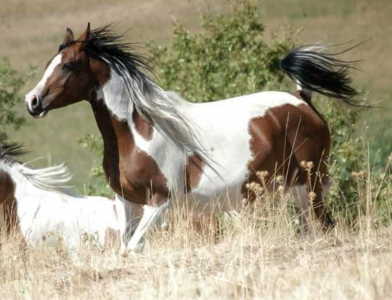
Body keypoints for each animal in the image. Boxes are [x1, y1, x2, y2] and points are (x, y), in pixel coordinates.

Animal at [25, 24, 362, 252]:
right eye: (48, 64)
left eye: (67, 65)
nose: (32, 102)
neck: (138, 133)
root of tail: (301, 99)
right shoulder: (128, 203)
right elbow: (124, 248)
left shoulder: (161, 203)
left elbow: (133, 248)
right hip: (294, 190)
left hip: (310, 186)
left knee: (323, 226)